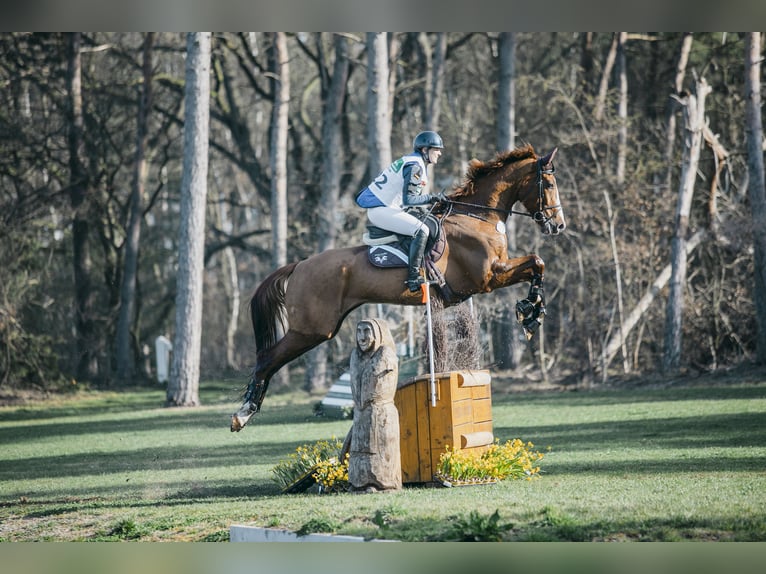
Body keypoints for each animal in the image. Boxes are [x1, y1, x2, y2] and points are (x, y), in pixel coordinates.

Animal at [231, 144, 568, 432]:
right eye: (549, 184)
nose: (559, 225)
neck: (477, 216)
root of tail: (300, 265)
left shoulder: (493, 275)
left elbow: (537, 264)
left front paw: (533, 311)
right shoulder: (488, 278)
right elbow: (537, 262)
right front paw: (529, 313)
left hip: (316, 328)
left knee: (270, 360)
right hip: (312, 329)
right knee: (267, 359)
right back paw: (244, 413)